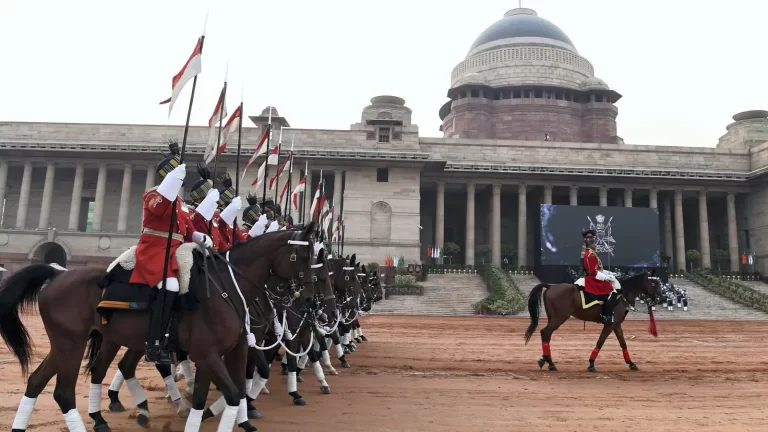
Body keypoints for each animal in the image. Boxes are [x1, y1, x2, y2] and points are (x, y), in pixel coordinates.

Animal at [0, 223, 316, 432]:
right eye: (304, 258)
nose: (310, 302)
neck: (228, 289)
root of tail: (57, 274)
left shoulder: (229, 351)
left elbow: (225, 392)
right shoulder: (208, 353)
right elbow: (233, 393)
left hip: (70, 343)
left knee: (38, 381)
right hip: (75, 343)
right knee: (65, 392)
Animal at [524, 272, 664, 372]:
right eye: (654, 284)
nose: (660, 299)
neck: (621, 294)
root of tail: (550, 285)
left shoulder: (616, 324)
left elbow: (623, 343)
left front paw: (631, 363)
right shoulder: (610, 324)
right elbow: (600, 342)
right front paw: (591, 363)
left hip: (553, 318)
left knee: (546, 334)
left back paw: (546, 360)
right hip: (559, 318)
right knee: (546, 332)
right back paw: (549, 362)